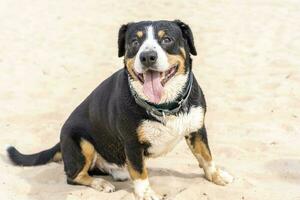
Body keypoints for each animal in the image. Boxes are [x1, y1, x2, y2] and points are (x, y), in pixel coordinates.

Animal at [6, 20, 232, 200]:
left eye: (166, 39)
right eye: (134, 42)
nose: (147, 56)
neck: (164, 106)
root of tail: (60, 141)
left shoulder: (197, 128)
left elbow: (206, 156)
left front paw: (216, 175)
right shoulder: (132, 143)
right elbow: (140, 172)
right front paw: (145, 192)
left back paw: (118, 172)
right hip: (82, 143)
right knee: (74, 176)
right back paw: (101, 183)